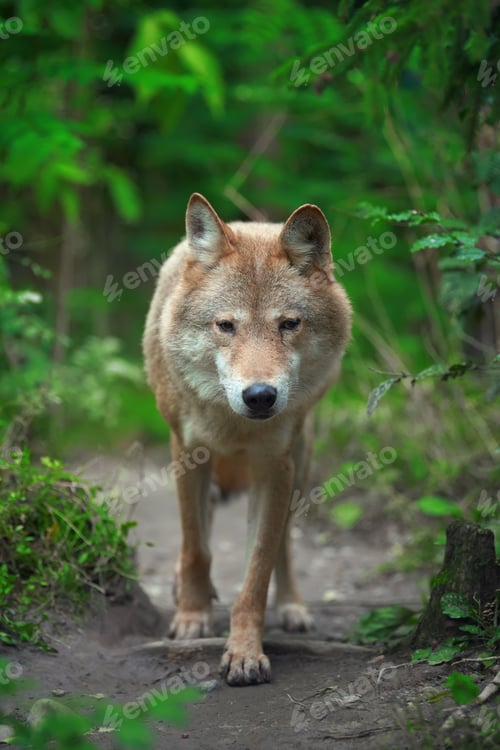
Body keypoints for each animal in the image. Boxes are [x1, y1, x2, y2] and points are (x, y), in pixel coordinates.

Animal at [143, 193, 352, 686]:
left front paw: (244, 653)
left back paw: (293, 608)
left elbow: (258, 571)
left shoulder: (275, 468)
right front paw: (191, 618)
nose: (259, 396)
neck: (234, 426)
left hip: (301, 462)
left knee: (287, 548)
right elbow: (196, 547)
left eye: (289, 324)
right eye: (226, 326)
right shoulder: (187, 453)